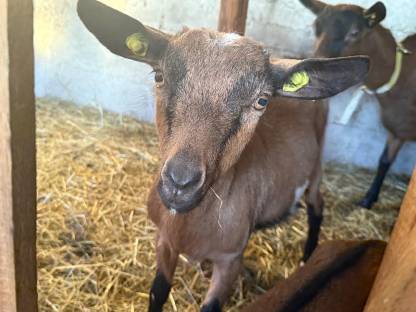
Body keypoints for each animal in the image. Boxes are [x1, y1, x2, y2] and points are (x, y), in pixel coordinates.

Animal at [76, 1, 368, 310]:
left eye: (262, 101)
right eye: (159, 76)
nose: (180, 182)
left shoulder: (230, 260)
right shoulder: (165, 240)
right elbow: (158, 291)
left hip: (317, 166)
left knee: (317, 204)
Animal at [300, 0, 416, 210]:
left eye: (354, 33)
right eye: (316, 27)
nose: (313, 73)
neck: (401, 75)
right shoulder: (397, 129)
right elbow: (384, 161)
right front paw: (368, 199)